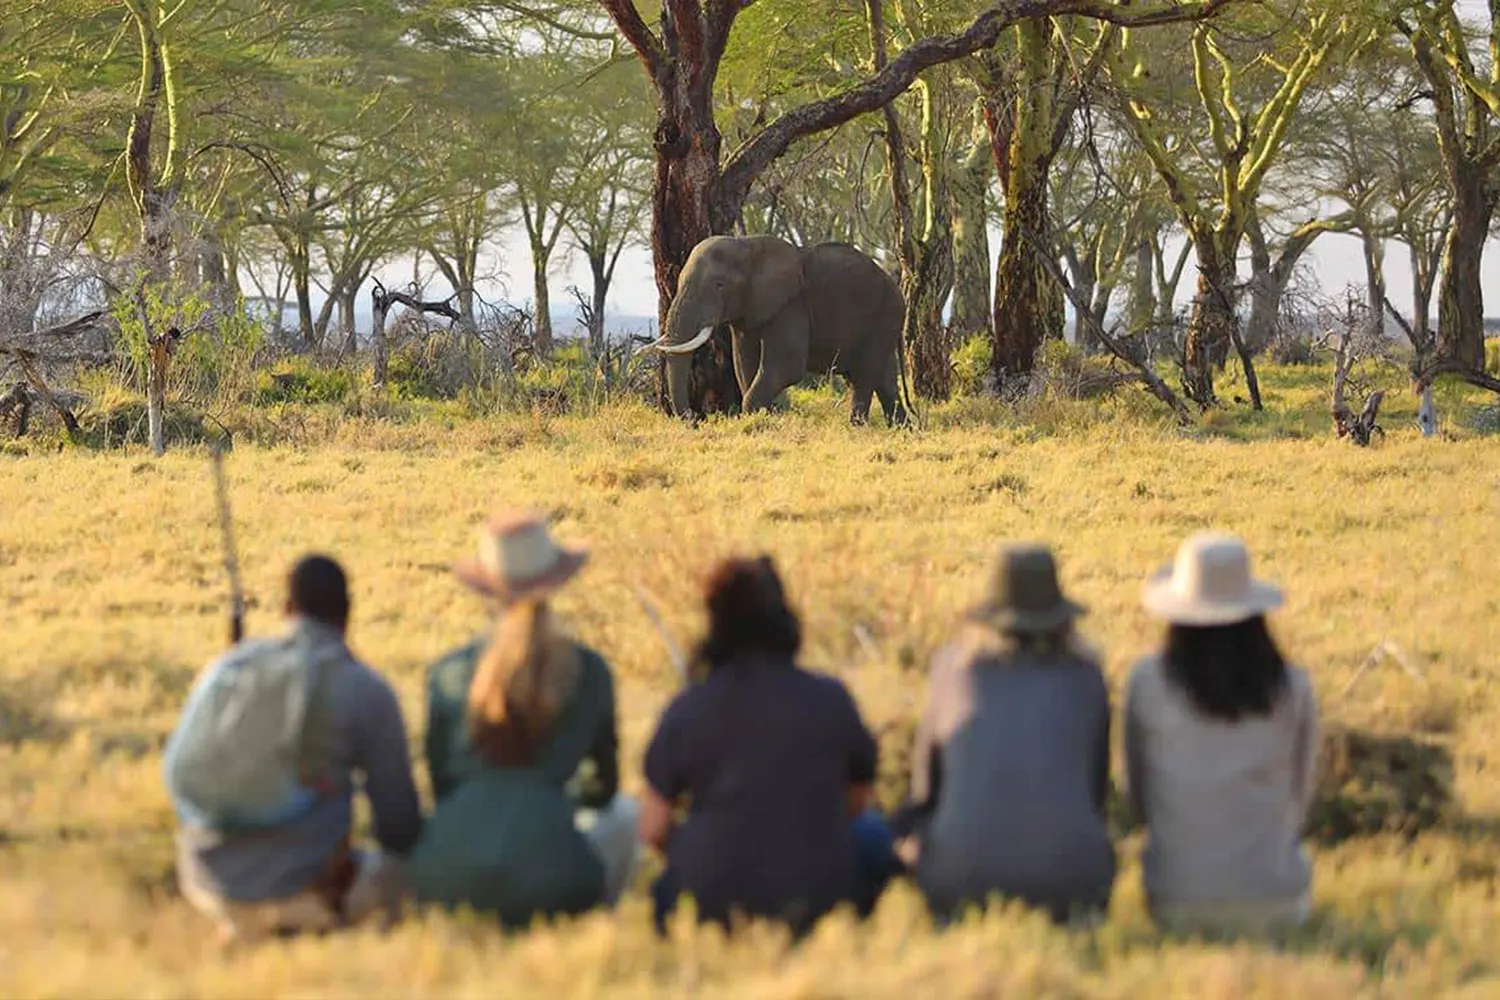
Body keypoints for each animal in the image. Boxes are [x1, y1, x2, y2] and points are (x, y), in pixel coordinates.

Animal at [642, 235, 900, 425]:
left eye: (719, 285)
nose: (695, 419)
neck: (747, 246)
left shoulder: (792, 305)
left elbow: (787, 366)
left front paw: (756, 420)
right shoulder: (746, 312)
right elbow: (744, 364)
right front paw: (764, 420)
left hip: (884, 315)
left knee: (863, 377)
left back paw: (857, 427)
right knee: (885, 381)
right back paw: (900, 427)